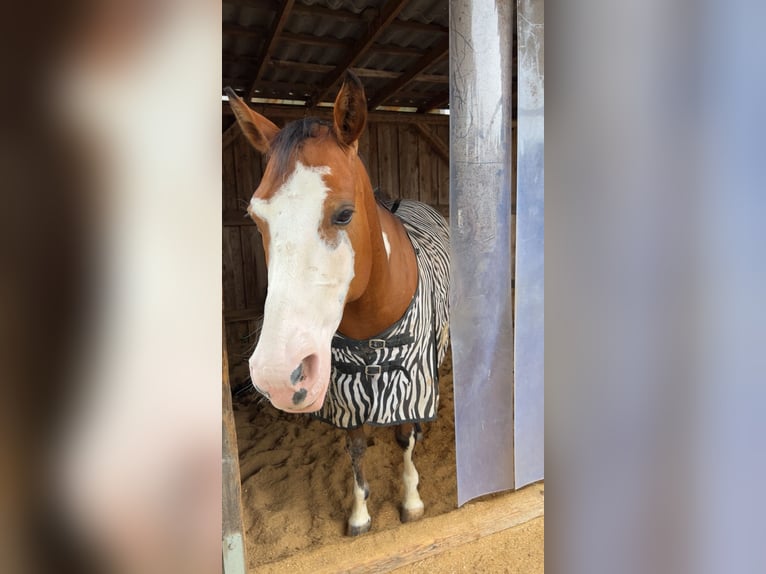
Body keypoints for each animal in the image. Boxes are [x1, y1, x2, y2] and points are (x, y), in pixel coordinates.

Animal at [226, 71, 450, 536]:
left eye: (344, 214)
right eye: (256, 218)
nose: (277, 376)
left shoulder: (411, 380)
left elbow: (406, 439)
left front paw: (411, 500)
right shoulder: (346, 397)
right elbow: (356, 447)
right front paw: (360, 514)